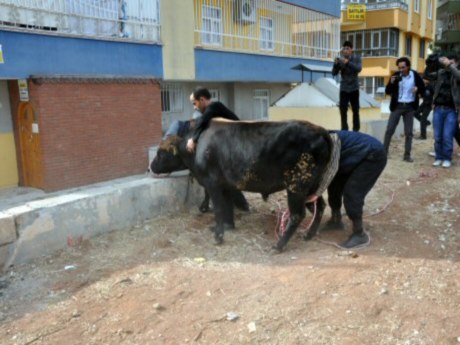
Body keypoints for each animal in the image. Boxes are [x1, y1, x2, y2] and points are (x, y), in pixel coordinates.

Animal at [153, 118, 332, 250]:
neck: (197, 145)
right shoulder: (225, 186)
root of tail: (318, 129)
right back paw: (309, 234)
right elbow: (227, 207)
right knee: (320, 206)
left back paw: (279, 245)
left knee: (297, 215)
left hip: (297, 187)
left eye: (161, 153)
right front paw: (228, 226)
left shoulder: (212, 184)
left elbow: (219, 209)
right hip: (311, 188)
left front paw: (218, 236)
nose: (151, 166)